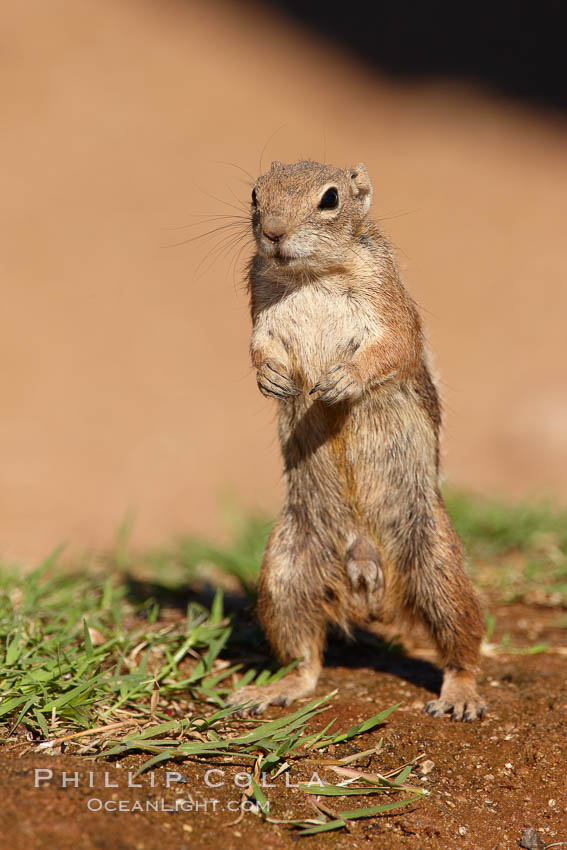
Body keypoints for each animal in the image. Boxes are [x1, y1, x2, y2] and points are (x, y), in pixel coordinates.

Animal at [229, 157, 486, 716]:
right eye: (256, 194)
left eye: (329, 199)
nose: (273, 232)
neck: (312, 275)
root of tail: (368, 579)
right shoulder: (260, 309)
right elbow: (258, 347)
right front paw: (270, 379)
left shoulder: (388, 302)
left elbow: (393, 346)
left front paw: (341, 381)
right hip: (283, 574)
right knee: (304, 654)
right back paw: (275, 688)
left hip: (439, 566)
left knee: (461, 643)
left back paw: (460, 694)